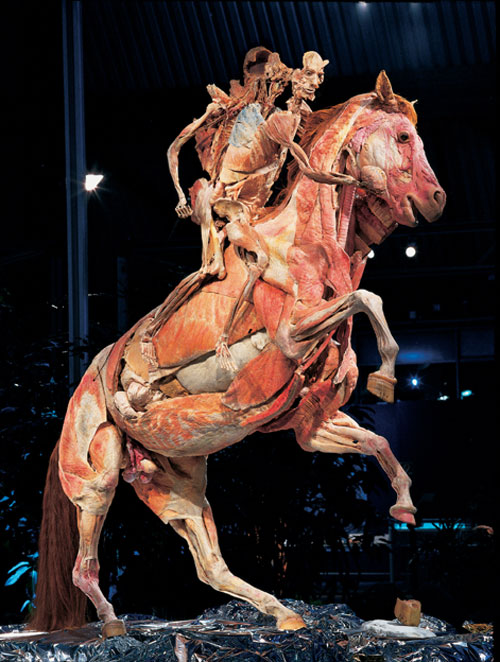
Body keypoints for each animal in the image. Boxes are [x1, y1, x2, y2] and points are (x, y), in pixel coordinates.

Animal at [30, 72, 446, 640]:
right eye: (403, 136)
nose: (436, 198)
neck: (302, 244)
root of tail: (75, 396)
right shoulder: (291, 337)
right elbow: (368, 298)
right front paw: (385, 376)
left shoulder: (311, 424)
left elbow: (379, 441)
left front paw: (404, 505)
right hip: (99, 477)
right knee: (86, 563)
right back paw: (114, 624)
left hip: (178, 483)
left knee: (210, 565)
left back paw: (283, 613)